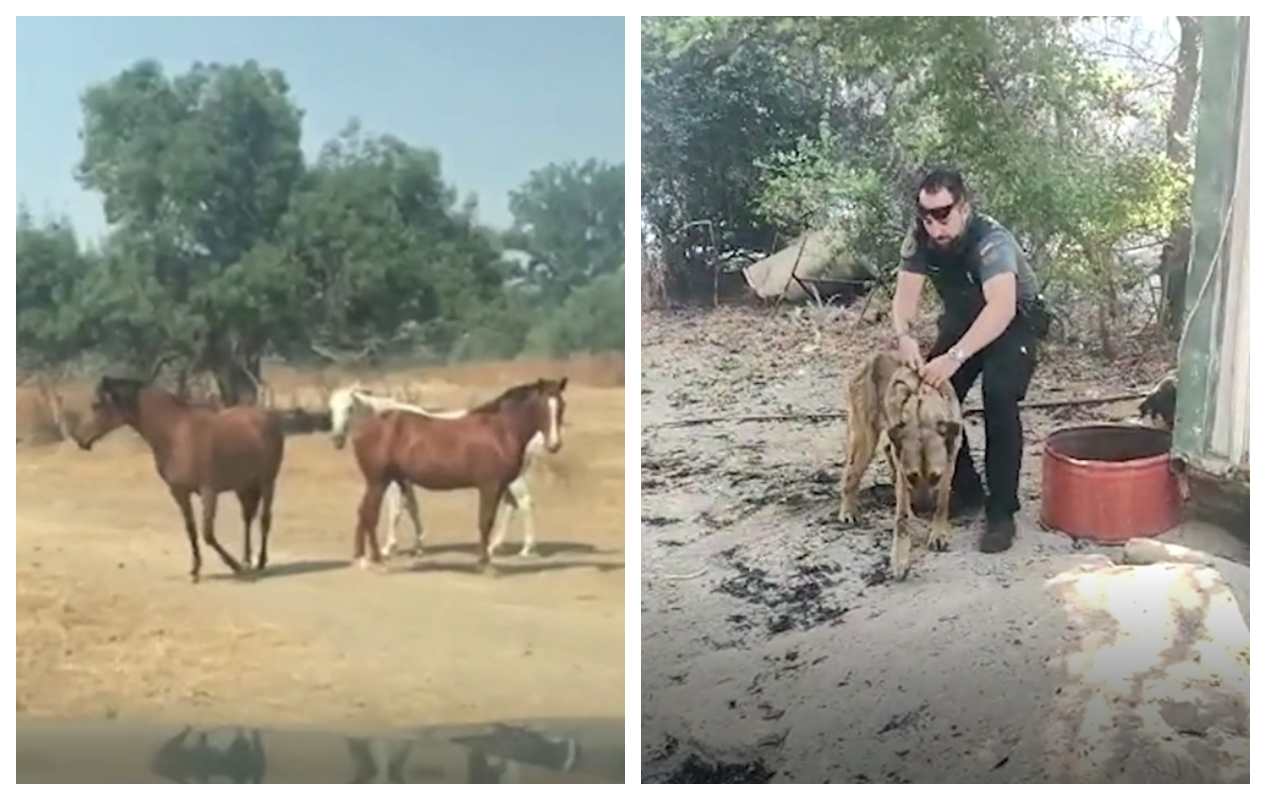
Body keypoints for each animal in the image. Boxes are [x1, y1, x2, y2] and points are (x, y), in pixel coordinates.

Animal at [72, 374, 306, 582]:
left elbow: (207, 533)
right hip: (244, 486)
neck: (176, 433)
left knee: (265, 520)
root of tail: (267, 417)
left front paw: (234, 567)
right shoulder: (179, 492)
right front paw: (195, 570)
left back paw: (259, 562)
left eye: (96, 405)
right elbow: (191, 530)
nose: (79, 439)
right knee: (247, 518)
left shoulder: (208, 491)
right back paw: (247, 560)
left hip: (267, 482)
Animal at [344, 377, 567, 569]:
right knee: (370, 515)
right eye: (542, 407)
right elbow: (485, 521)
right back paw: (376, 559)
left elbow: (489, 521)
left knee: (363, 512)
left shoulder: (497, 486)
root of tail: (364, 429)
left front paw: (485, 558)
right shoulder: (489, 485)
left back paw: (362, 558)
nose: (554, 444)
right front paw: (485, 563)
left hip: (377, 482)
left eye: (561, 406)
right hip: (378, 481)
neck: (500, 431)